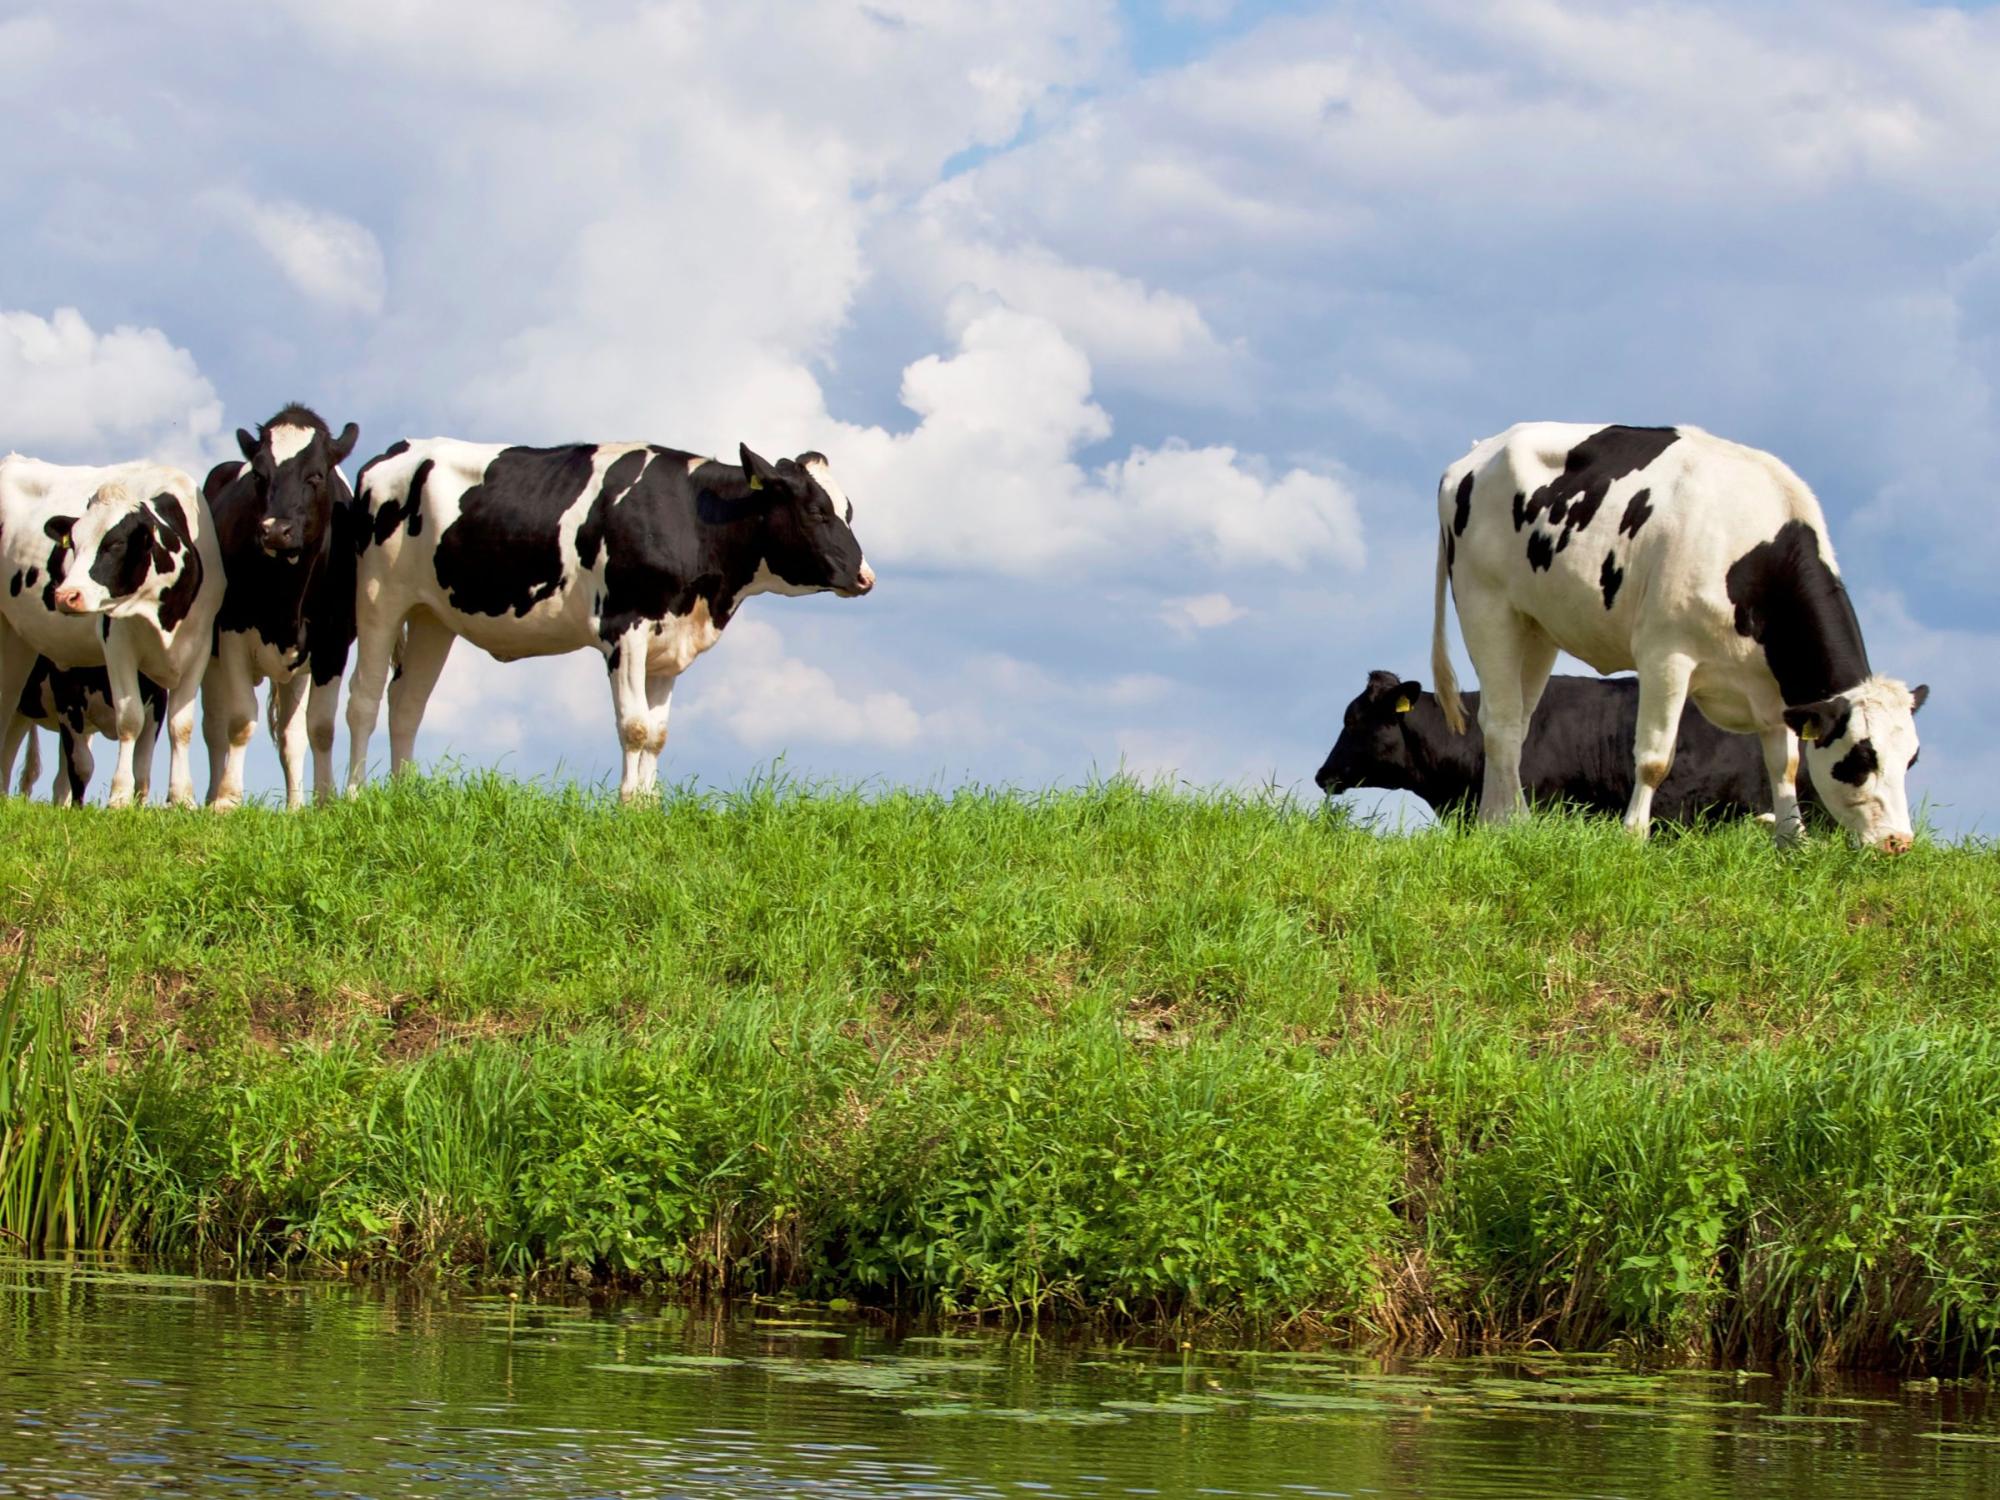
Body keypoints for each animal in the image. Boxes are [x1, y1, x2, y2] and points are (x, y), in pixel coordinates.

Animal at [201, 405, 360, 809]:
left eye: (316, 475)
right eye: (259, 474)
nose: (275, 530)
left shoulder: (333, 642)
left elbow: (319, 728)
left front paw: (322, 801)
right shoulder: (231, 633)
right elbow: (240, 721)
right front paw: (227, 800)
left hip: (297, 672)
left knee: (291, 735)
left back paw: (293, 806)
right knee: (214, 728)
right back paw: (207, 796)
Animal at [346, 439, 875, 800]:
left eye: (849, 510)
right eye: (816, 511)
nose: (864, 576)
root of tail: (397, 451)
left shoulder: (668, 641)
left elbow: (658, 734)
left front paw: (648, 807)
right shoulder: (624, 628)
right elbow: (634, 726)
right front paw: (627, 807)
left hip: (431, 615)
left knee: (408, 702)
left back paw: (402, 797)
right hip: (378, 598)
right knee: (364, 700)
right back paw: (352, 798)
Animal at [1432, 423, 1926, 851]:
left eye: (1911, 759)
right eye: (1862, 757)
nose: (1898, 842)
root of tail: (1478, 452)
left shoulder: (1772, 691)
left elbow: (1783, 764)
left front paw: (1792, 842)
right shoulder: (1665, 656)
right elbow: (1654, 758)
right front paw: (1633, 837)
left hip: (1535, 625)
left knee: (1515, 722)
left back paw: (1496, 823)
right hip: (1485, 605)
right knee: (1499, 722)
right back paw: (1512, 820)